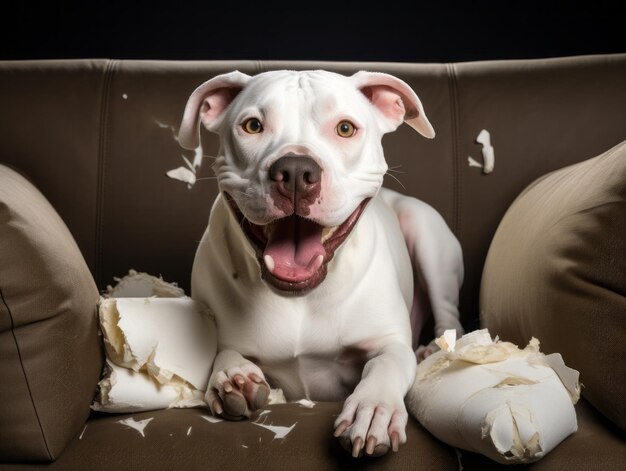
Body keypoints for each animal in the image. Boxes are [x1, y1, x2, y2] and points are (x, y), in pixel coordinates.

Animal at [178, 70, 460, 458]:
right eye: (252, 126)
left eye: (345, 128)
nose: (296, 171)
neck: (302, 296)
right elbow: (223, 354)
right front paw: (232, 377)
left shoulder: (389, 343)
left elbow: (386, 364)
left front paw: (373, 409)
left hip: (427, 234)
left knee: (451, 318)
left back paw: (435, 348)